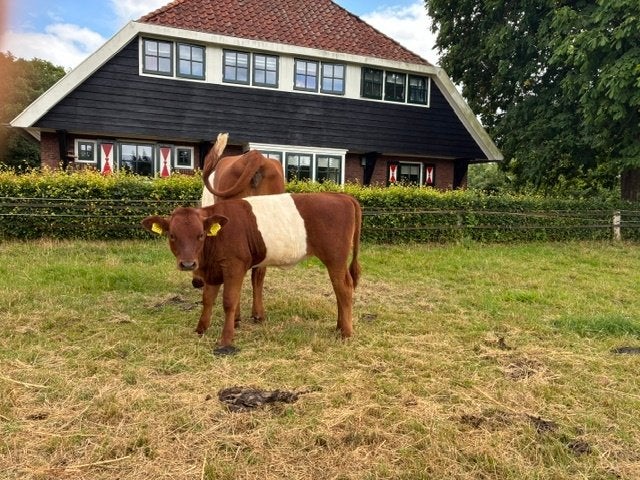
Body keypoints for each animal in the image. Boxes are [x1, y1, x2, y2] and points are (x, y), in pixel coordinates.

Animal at [142, 192, 362, 355]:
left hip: (335, 258)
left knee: (344, 288)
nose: (188, 264)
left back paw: (346, 333)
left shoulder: (235, 266)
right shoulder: (212, 272)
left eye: (201, 235)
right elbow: (207, 300)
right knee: (339, 290)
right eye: (172, 235)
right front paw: (200, 329)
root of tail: (341, 196)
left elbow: (229, 301)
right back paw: (339, 327)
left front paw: (226, 339)